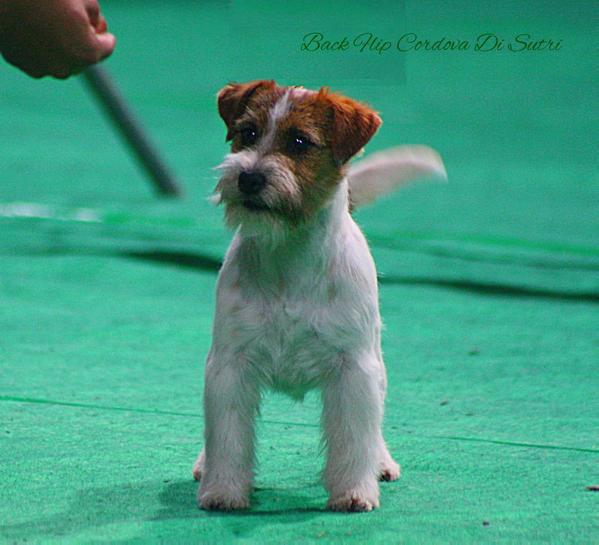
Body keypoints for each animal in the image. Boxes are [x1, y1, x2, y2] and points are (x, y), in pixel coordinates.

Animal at [192, 79, 446, 510]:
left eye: (299, 141)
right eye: (248, 133)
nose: (249, 178)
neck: (289, 259)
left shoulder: (353, 371)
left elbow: (354, 438)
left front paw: (354, 491)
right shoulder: (229, 366)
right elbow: (227, 436)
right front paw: (223, 489)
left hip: (375, 362)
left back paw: (380, 462)